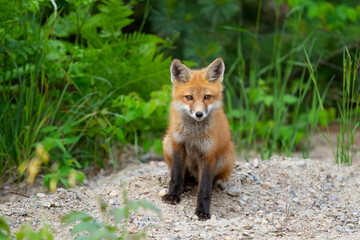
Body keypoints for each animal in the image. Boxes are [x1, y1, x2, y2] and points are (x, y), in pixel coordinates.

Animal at [162, 57, 235, 219]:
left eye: (207, 97)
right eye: (189, 97)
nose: (199, 114)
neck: (193, 136)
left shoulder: (208, 154)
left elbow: (204, 188)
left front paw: (202, 210)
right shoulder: (178, 145)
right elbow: (176, 176)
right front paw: (173, 195)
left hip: (226, 158)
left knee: (211, 181)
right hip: (167, 142)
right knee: (184, 175)